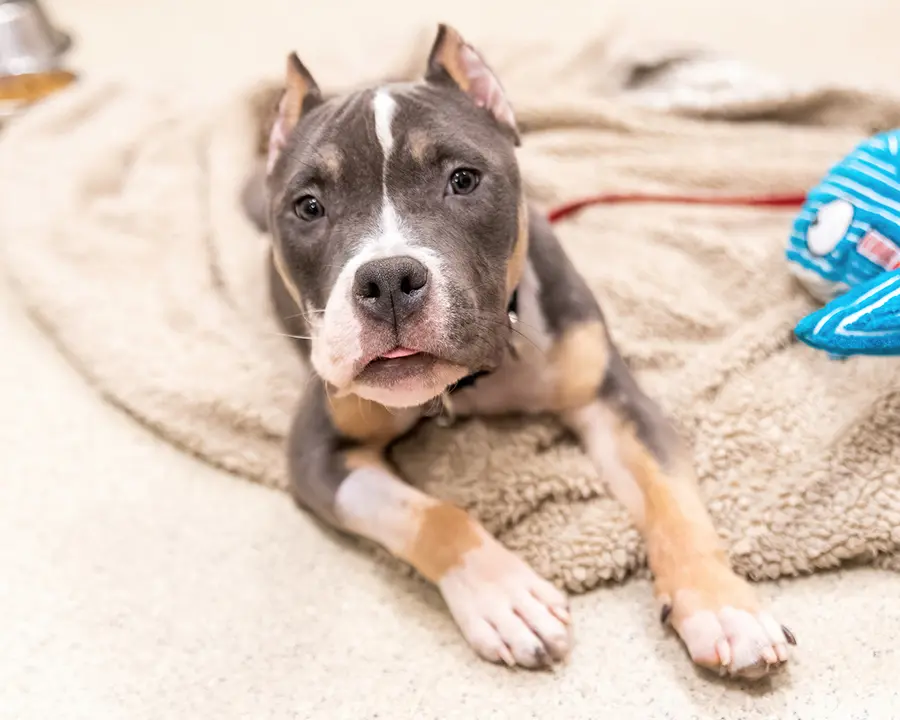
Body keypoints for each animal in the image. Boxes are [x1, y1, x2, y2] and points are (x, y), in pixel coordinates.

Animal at [243, 21, 800, 676]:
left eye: (463, 179)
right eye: (309, 206)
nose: (388, 282)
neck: (475, 380)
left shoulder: (613, 399)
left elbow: (672, 499)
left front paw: (722, 604)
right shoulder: (319, 453)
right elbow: (431, 515)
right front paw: (505, 597)